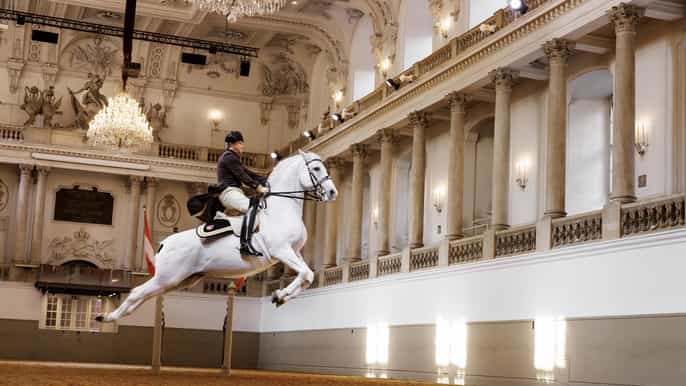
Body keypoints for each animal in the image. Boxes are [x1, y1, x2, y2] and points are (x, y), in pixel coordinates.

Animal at [98, 152, 340, 322]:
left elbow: (308, 276)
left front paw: (279, 296)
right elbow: (305, 274)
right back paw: (107, 317)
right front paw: (280, 294)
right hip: (168, 278)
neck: (282, 209)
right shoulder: (282, 251)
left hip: (178, 280)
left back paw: (110, 316)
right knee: (136, 293)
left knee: (143, 296)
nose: (332, 192)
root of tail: (165, 243)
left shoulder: (294, 253)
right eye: (316, 168)